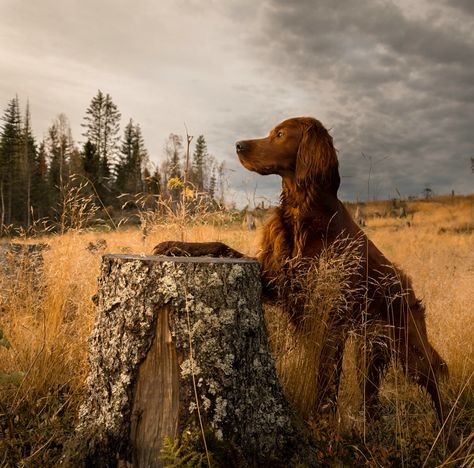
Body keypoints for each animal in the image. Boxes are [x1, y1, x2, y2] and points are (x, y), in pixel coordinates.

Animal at [154, 118, 454, 446]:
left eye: (280, 134)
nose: (238, 145)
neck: (300, 212)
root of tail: (408, 289)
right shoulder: (275, 281)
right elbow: (220, 245)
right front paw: (174, 245)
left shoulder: (330, 317)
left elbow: (326, 382)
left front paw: (321, 424)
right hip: (370, 351)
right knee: (372, 401)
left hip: (408, 348)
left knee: (435, 386)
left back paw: (446, 438)